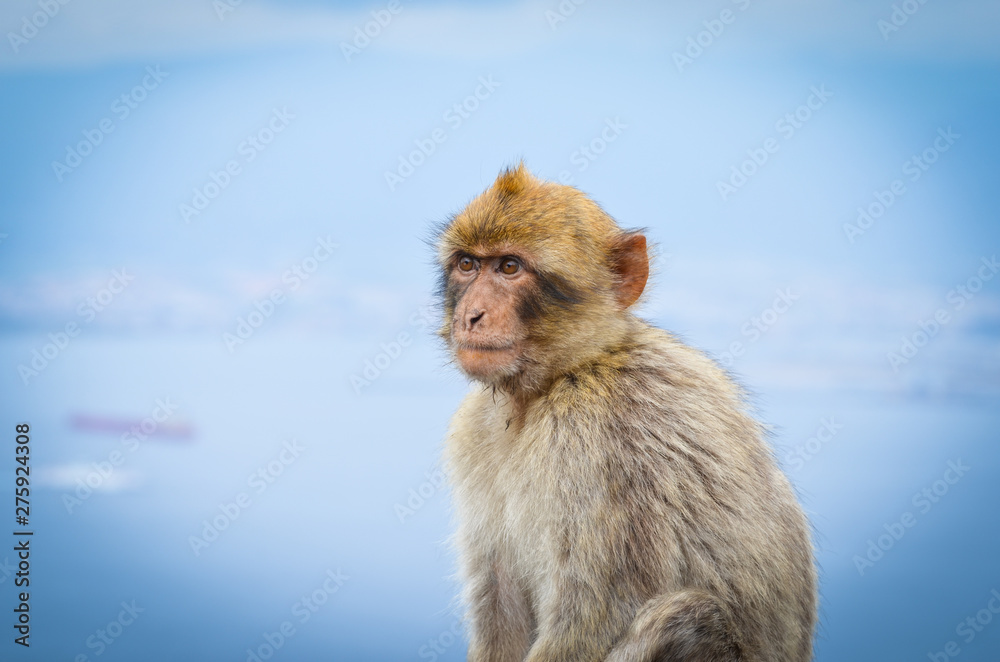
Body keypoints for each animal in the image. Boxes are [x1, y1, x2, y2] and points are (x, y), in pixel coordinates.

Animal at [435, 163, 817, 662]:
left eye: (509, 267)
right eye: (468, 265)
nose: (472, 316)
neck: (559, 379)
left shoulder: (597, 442)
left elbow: (591, 622)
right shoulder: (475, 429)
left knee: (683, 617)